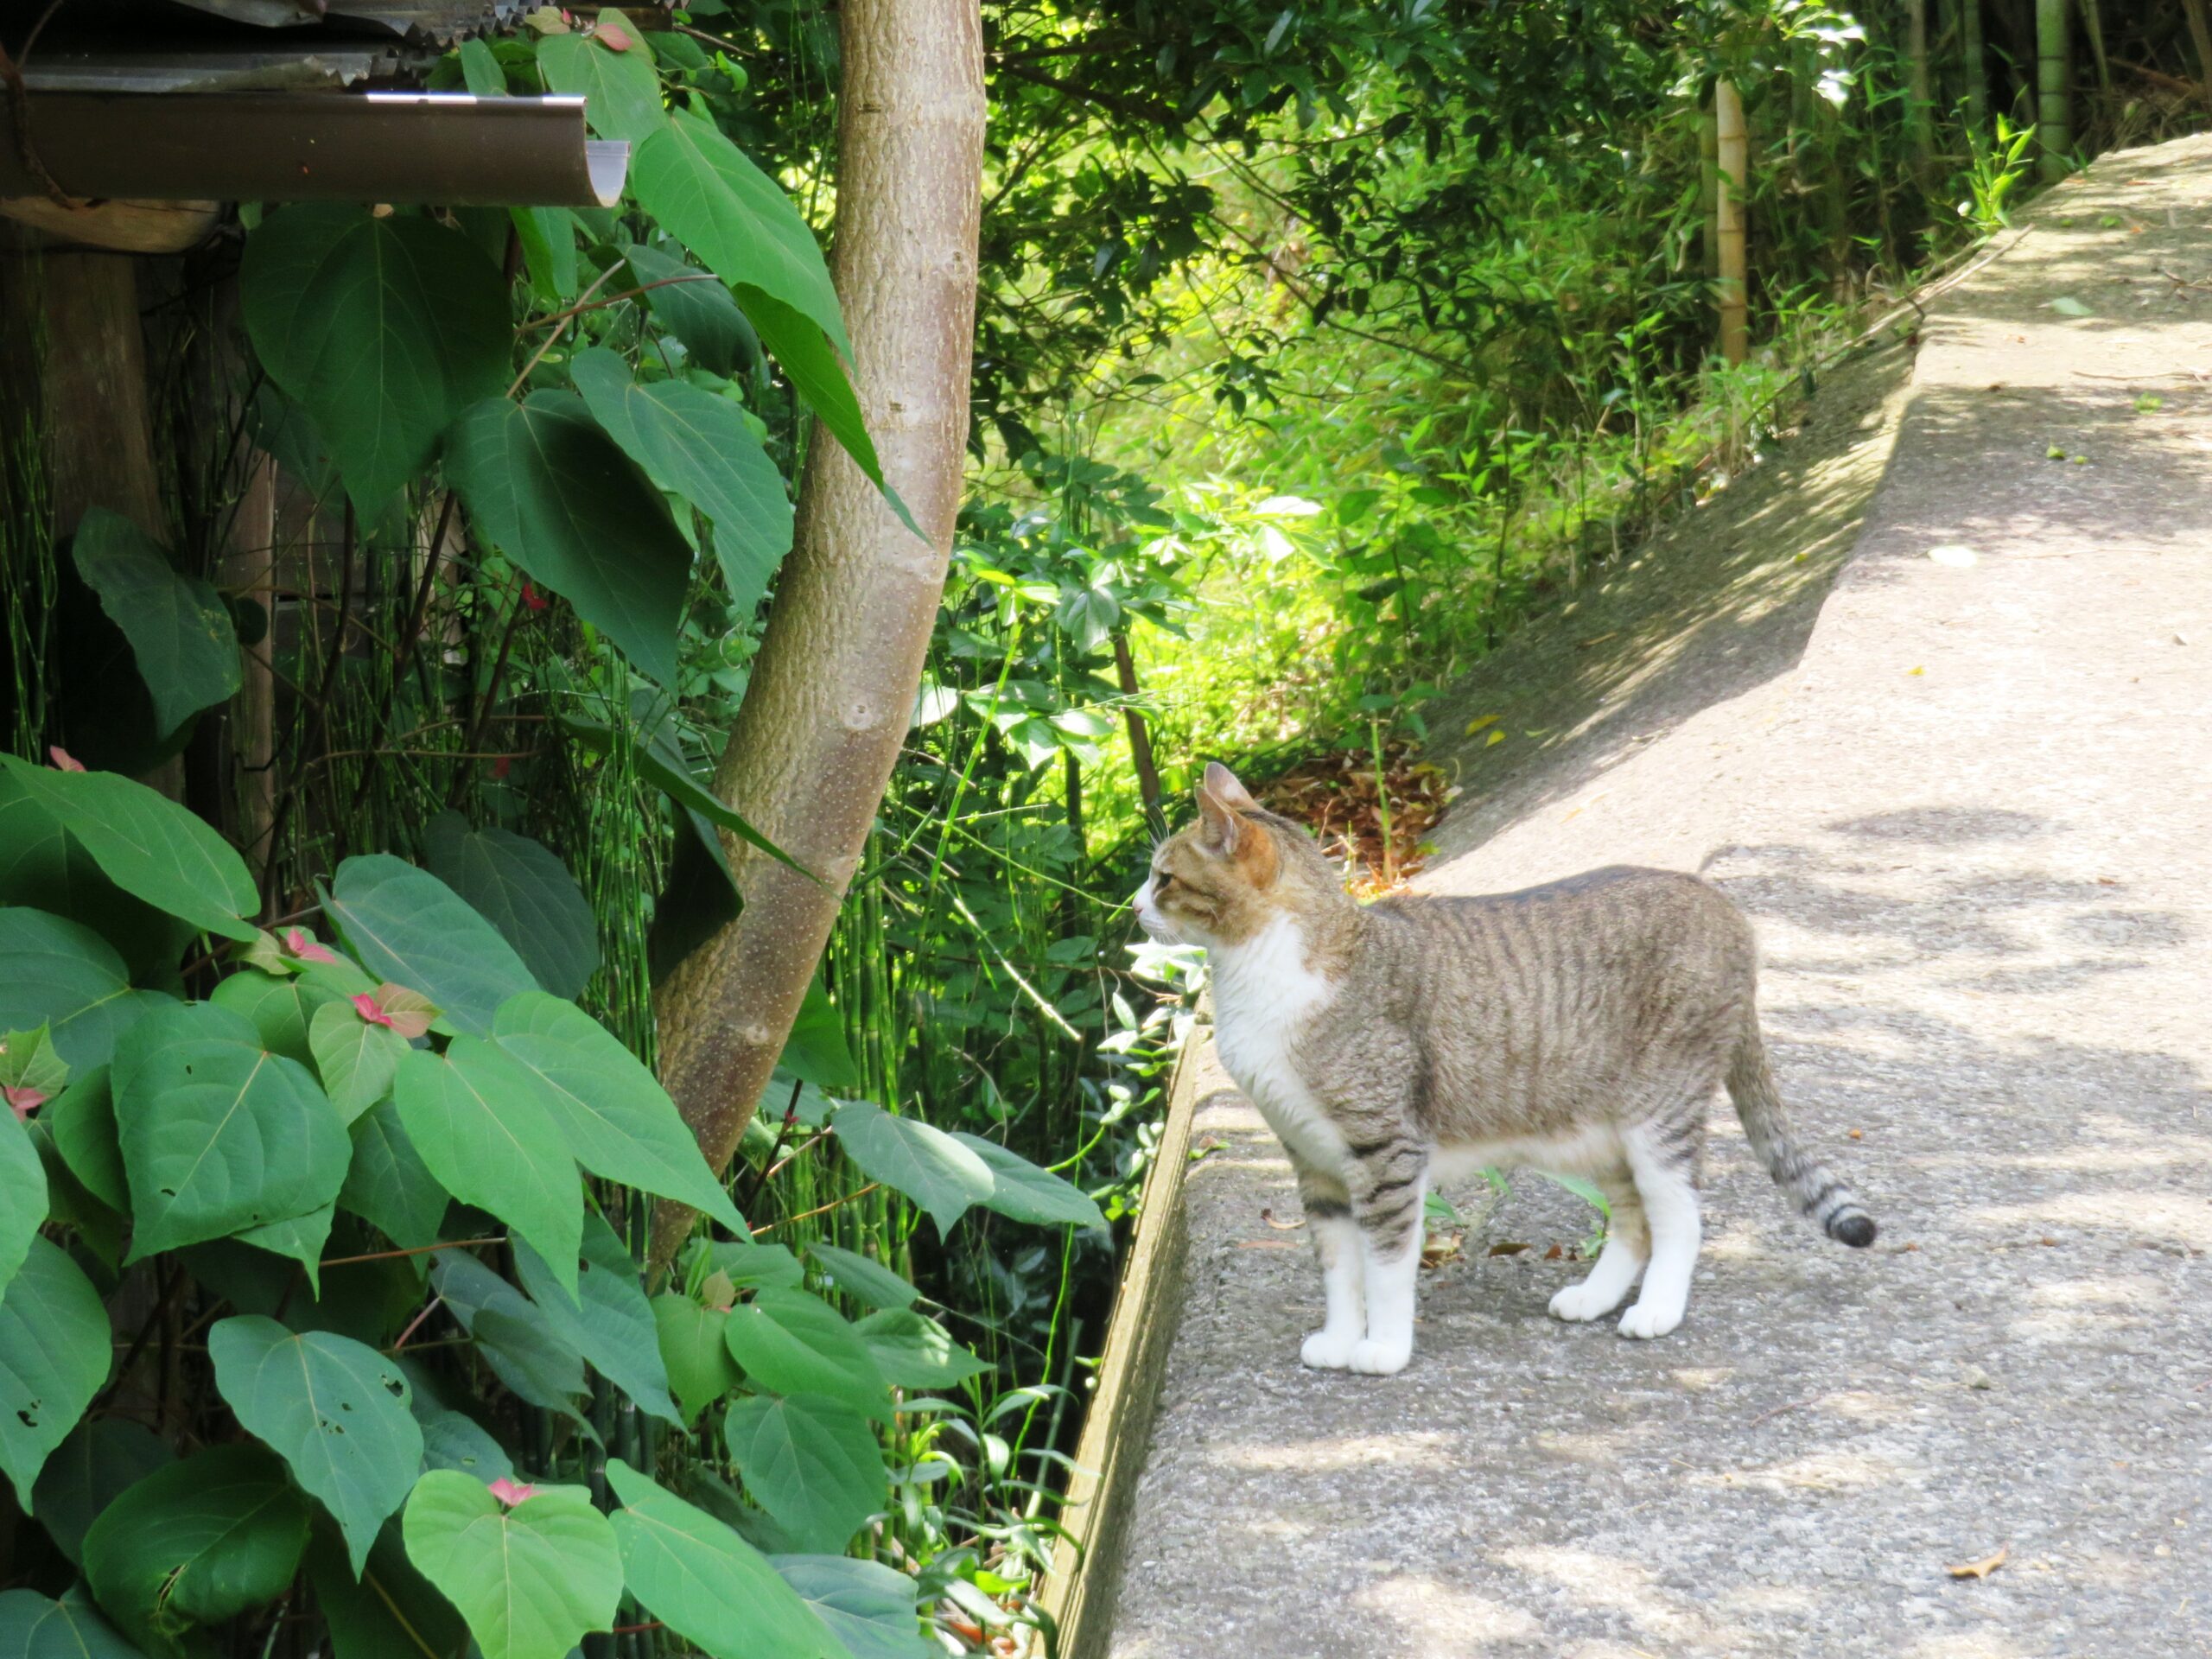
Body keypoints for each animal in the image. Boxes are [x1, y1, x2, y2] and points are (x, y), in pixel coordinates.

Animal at [1132, 765, 1875, 1380]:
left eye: (1164, 878)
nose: (1133, 907)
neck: (1262, 972)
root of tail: (1727, 909)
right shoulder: (1313, 1161)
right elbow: (1339, 1267)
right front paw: (1341, 1340)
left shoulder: (1384, 1150)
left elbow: (1385, 1263)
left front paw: (1383, 1349)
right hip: (1596, 1134)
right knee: (1632, 1221)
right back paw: (1593, 1298)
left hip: (1658, 1115)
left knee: (1680, 1215)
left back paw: (1657, 1310)